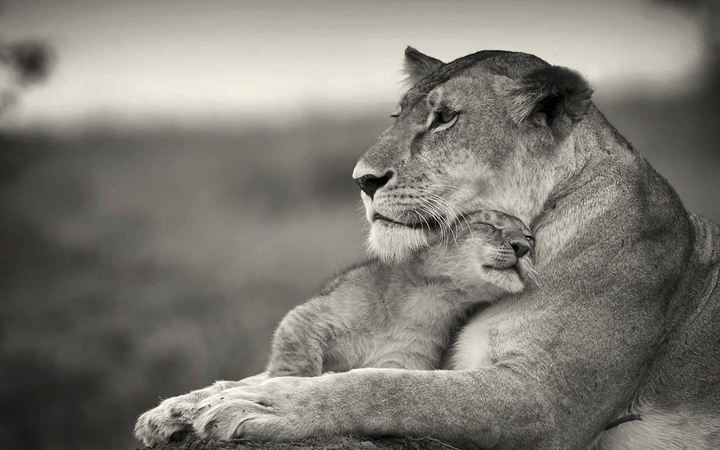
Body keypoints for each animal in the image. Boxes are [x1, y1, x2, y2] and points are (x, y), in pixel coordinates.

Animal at [135, 48, 720, 449]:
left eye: (445, 118)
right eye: (399, 117)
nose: (362, 180)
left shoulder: (546, 401)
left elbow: (389, 388)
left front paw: (264, 404)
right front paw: (182, 407)